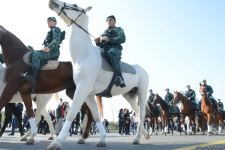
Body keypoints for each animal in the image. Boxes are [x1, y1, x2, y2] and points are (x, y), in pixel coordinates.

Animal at [47, 0, 149, 149]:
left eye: (75, 6)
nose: (52, 2)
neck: (84, 55)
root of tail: (142, 70)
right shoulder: (88, 93)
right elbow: (96, 116)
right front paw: (102, 140)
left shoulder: (82, 88)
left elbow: (71, 113)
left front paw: (57, 142)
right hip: (129, 95)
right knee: (136, 113)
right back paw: (145, 135)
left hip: (142, 92)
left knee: (141, 115)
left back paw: (137, 139)